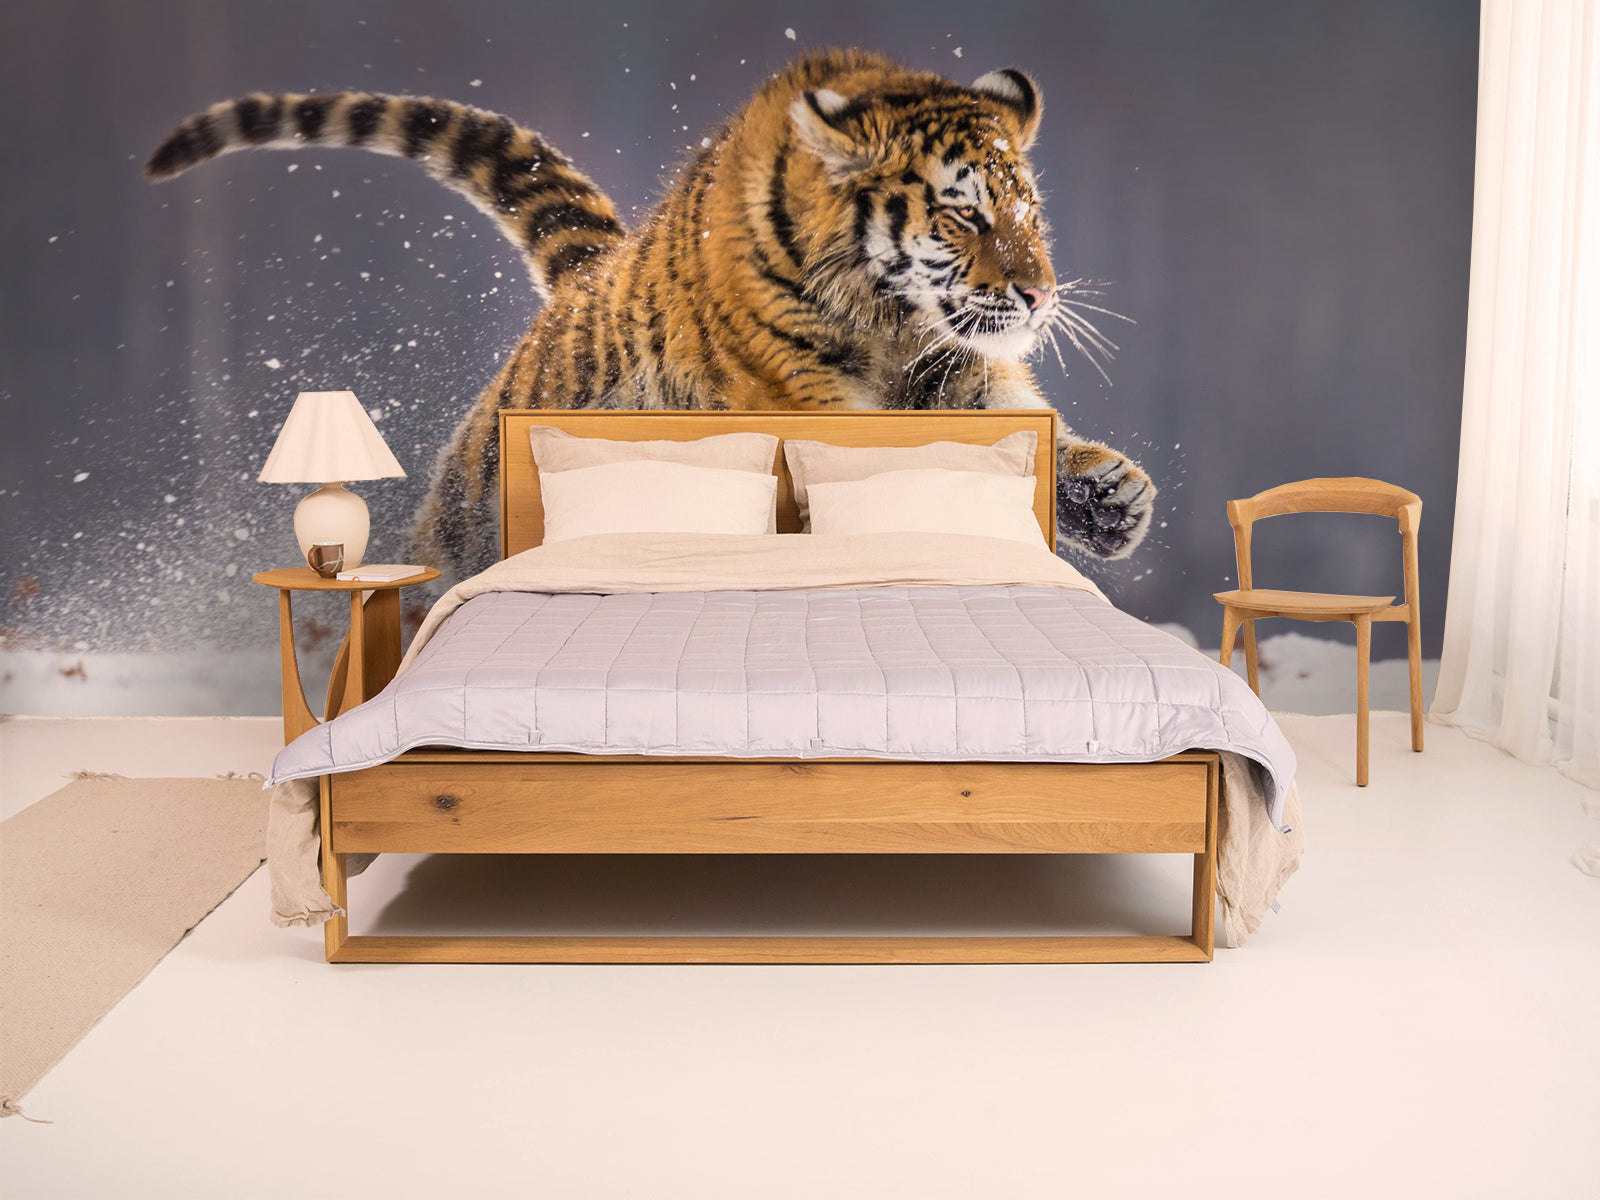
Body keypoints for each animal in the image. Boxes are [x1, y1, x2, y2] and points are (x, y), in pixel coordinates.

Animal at [146, 48, 1155, 582]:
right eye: (963, 213)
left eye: (1029, 211)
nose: (1040, 294)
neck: (890, 324)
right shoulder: (803, 400)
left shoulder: (953, 371)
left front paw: (1109, 495)